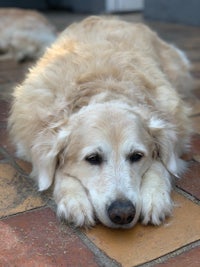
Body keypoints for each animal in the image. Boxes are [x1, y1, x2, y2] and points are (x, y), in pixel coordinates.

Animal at [9, 16, 192, 229]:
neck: (104, 88)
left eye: (137, 156)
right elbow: (56, 171)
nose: (123, 213)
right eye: (93, 158)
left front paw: (155, 196)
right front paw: (74, 200)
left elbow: (161, 164)